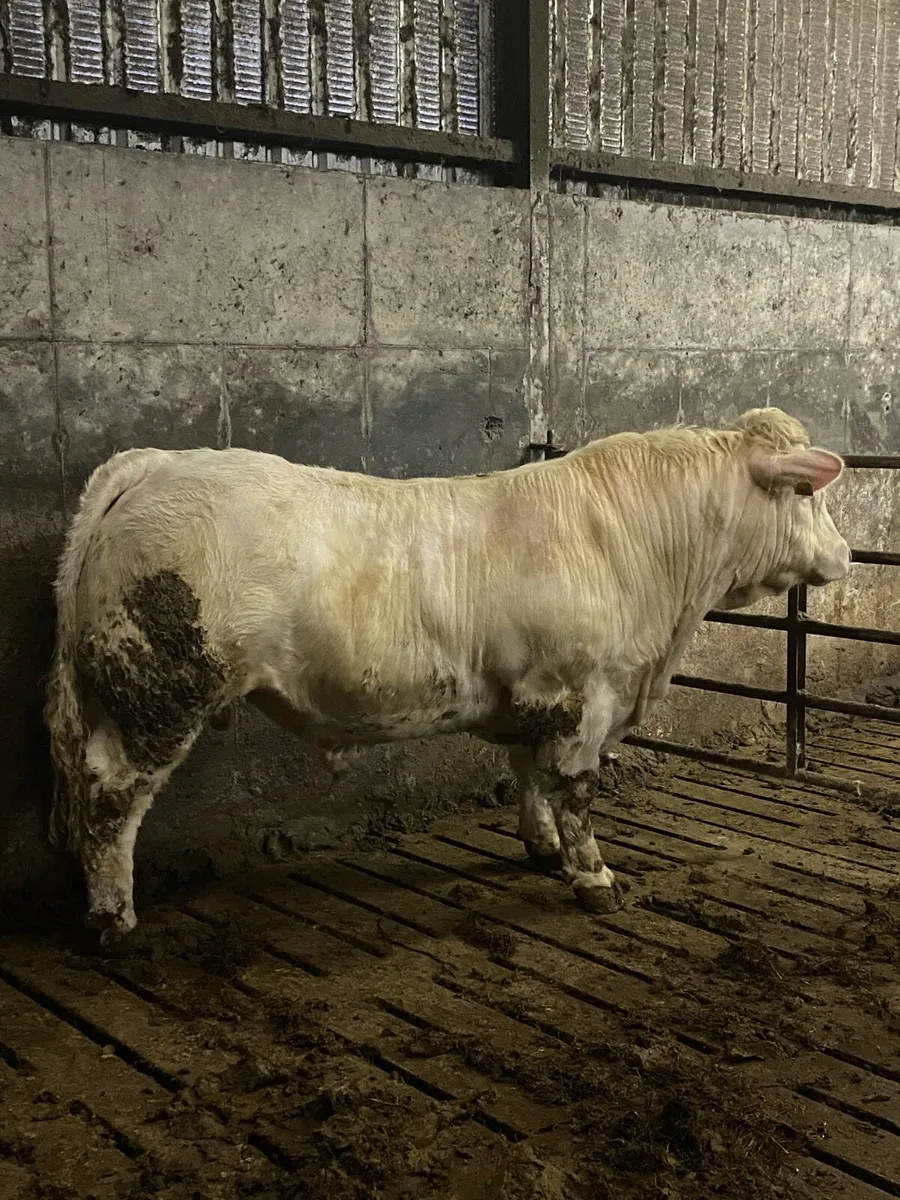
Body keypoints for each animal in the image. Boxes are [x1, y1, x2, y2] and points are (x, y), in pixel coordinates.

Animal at [44, 407, 850, 942]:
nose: (846, 555)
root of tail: (159, 463)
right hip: (158, 691)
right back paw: (112, 916)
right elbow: (577, 791)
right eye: (809, 493)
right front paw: (594, 878)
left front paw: (541, 847)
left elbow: (529, 775)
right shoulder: (584, 695)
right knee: (112, 798)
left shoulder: (536, 696)